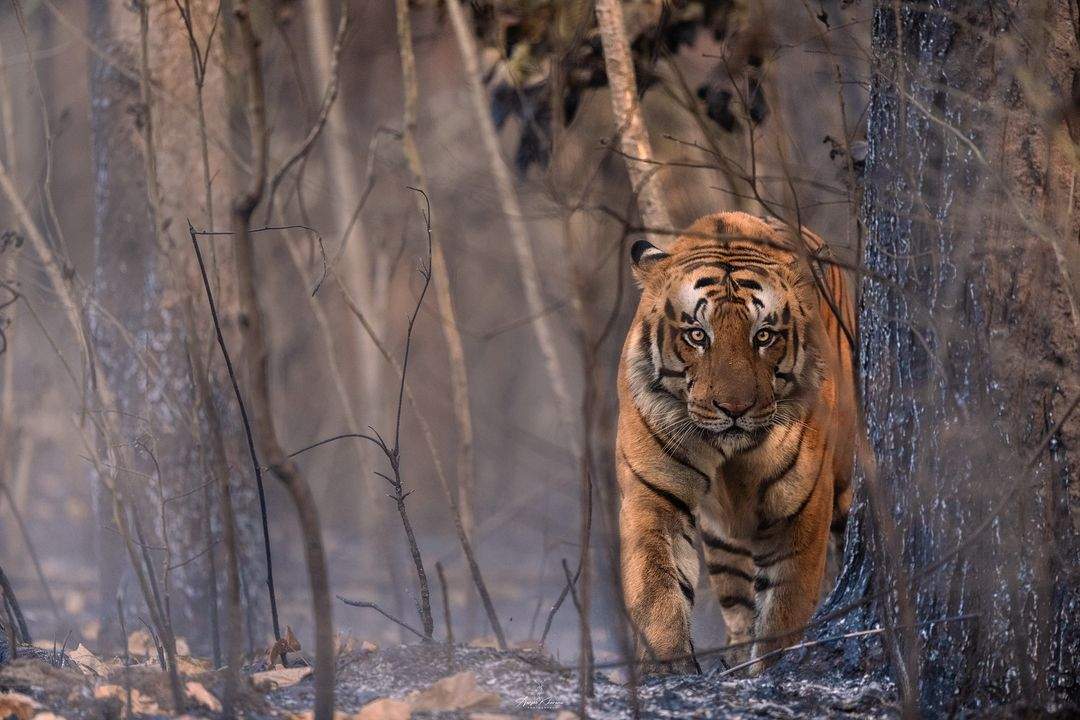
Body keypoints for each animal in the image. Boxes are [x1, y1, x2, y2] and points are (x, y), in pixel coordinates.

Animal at [615, 211, 859, 674]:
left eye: (763, 336)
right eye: (697, 335)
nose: (733, 408)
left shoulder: (799, 507)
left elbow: (785, 608)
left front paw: (770, 671)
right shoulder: (654, 493)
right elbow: (657, 589)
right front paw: (668, 671)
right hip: (723, 541)